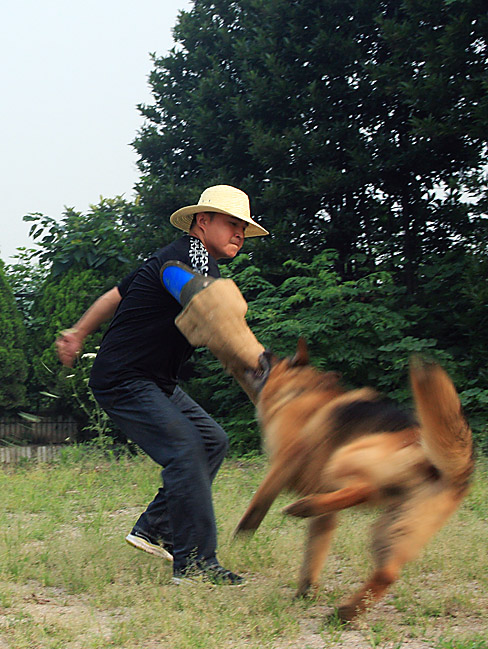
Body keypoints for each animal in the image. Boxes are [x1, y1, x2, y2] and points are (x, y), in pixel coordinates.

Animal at [234, 336, 474, 620]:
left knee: (364, 488)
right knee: (387, 573)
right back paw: (346, 612)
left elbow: (258, 503)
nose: (265, 351)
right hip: (393, 528)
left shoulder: (282, 464)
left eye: (280, 357)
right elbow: (314, 552)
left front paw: (241, 535)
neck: (301, 391)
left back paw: (303, 507)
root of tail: (450, 467)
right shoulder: (325, 518)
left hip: (344, 458)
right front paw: (306, 591)